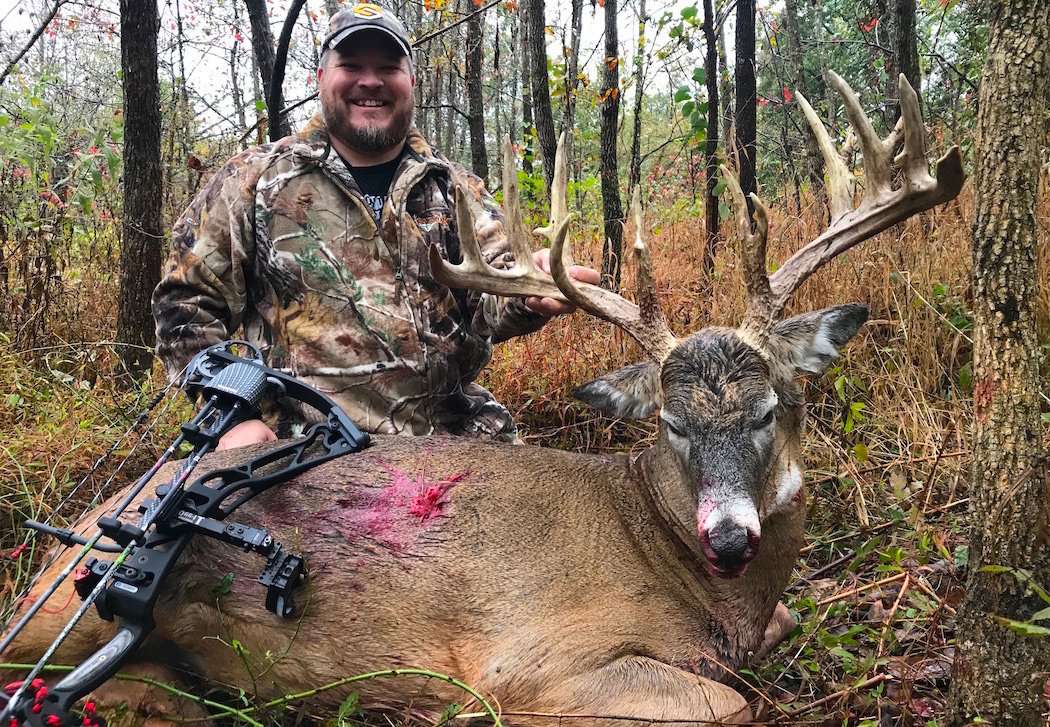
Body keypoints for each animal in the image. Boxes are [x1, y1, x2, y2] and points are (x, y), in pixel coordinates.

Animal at [4, 72, 961, 722]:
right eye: (671, 424)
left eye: (770, 410)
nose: (728, 536)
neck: (695, 587)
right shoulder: (533, 656)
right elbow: (731, 702)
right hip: (68, 606)